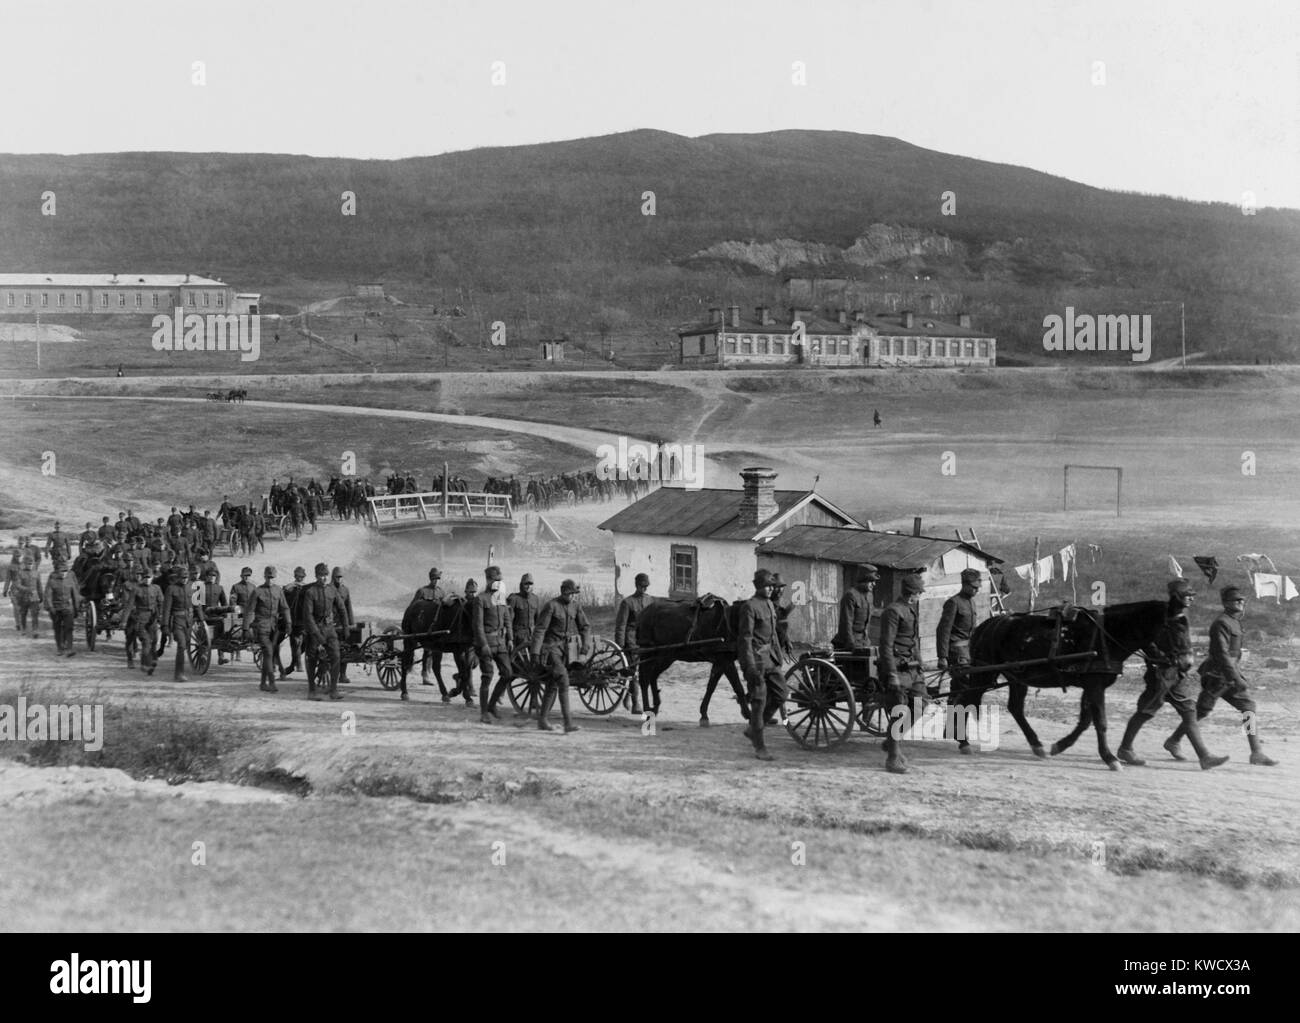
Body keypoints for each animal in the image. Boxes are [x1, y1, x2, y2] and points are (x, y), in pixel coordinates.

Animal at [967, 600, 1170, 769]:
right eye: (1171, 629)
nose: (1171, 662)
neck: (1105, 636)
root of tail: (986, 624)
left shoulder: (1091, 686)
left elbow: (1085, 720)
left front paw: (1061, 745)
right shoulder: (1094, 685)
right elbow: (1100, 721)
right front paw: (1109, 758)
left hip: (1017, 677)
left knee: (1014, 707)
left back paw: (1036, 745)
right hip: (984, 673)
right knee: (968, 699)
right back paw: (964, 742)